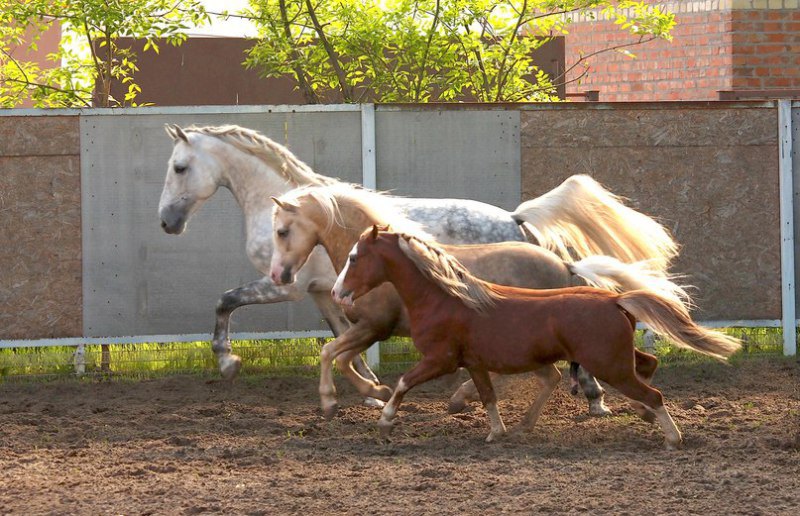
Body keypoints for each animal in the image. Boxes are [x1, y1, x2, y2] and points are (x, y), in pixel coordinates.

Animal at [159, 122, 680, 396]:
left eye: (179, 167)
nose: (167, 222)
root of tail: (515, 219)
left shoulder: (283, 284)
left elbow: (226, 301)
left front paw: (227, 361)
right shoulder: (323, 292)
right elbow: (342, 336)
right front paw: (370, 386)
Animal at [268, 184, 688, 420]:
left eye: (282, 230)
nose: (277, 275)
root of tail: (564, 263)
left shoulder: (375, 327)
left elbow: (331, 355)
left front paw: (341, 401)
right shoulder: (367, 329)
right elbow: (338, 356)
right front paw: (373, 393)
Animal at [330, 228, 736, 450]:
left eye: (354, 257)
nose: (337, 293)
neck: (445, 298)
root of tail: (614, 299)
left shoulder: (439, 360)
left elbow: (402, 383)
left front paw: (384, 423)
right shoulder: (473, 363)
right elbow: (487, 396)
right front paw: (497, 432)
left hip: (609, 364)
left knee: (653, 392)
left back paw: (671, 437)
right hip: (616, 359)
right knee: (649, 366)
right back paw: (642, 415)